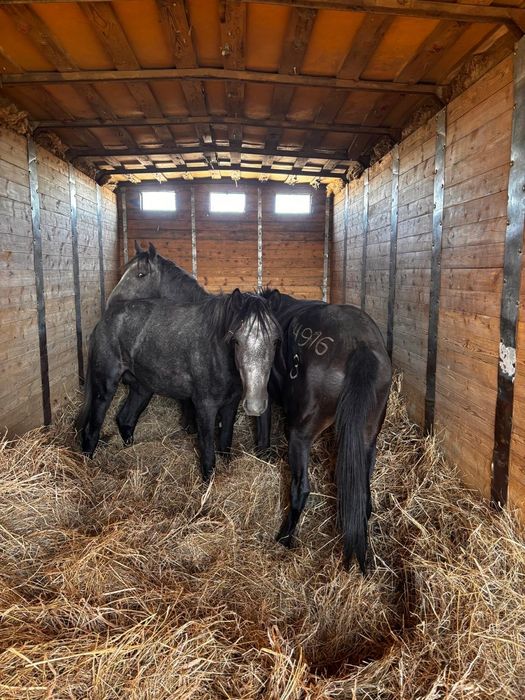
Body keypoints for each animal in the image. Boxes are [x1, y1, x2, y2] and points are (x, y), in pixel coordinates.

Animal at [77, 289, 281, 480]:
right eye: (236, 340)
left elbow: (225, 443)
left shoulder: (230, 404)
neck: (217, 352)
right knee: (92, 429)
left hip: (142, 388)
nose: (255, 405)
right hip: (105, 387)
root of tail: (104, 321)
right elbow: (208, 453)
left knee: (125, 419)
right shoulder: (205, 406)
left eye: (275, 341)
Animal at [257, 290, 392, 573]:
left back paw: (284, 538)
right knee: (362, 497)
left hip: (299, 435)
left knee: (301, 489)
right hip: (367, 440)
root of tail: (359, 346)